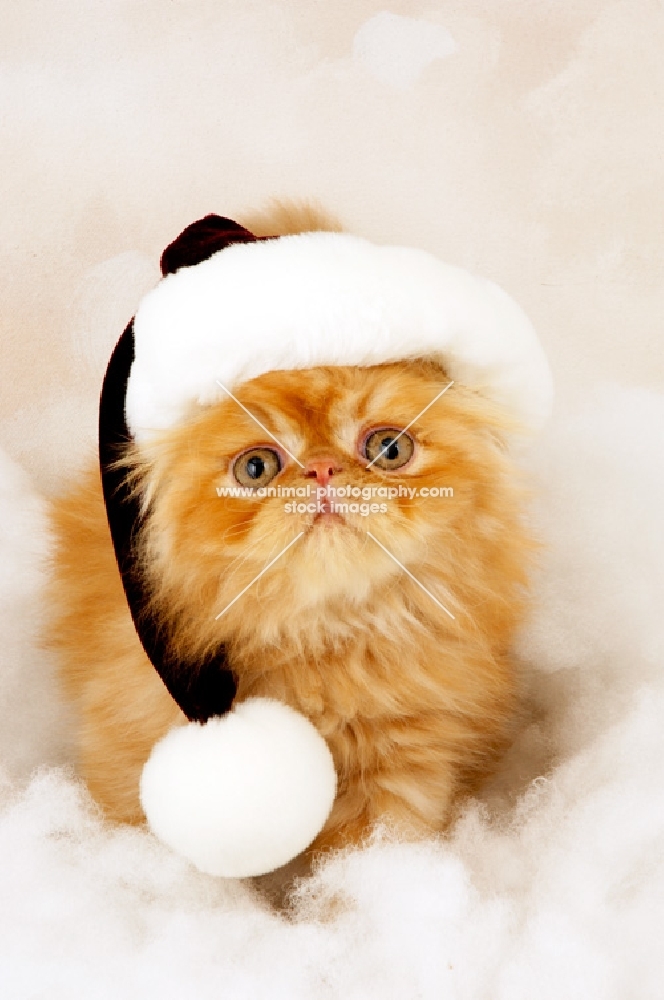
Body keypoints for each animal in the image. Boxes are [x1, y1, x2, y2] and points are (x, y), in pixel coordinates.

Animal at [46, 207, 532, 856]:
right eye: (255, 468)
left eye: (388, 449)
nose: (322, 470)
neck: (324, 643)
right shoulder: (131, 753)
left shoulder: (402, 761)